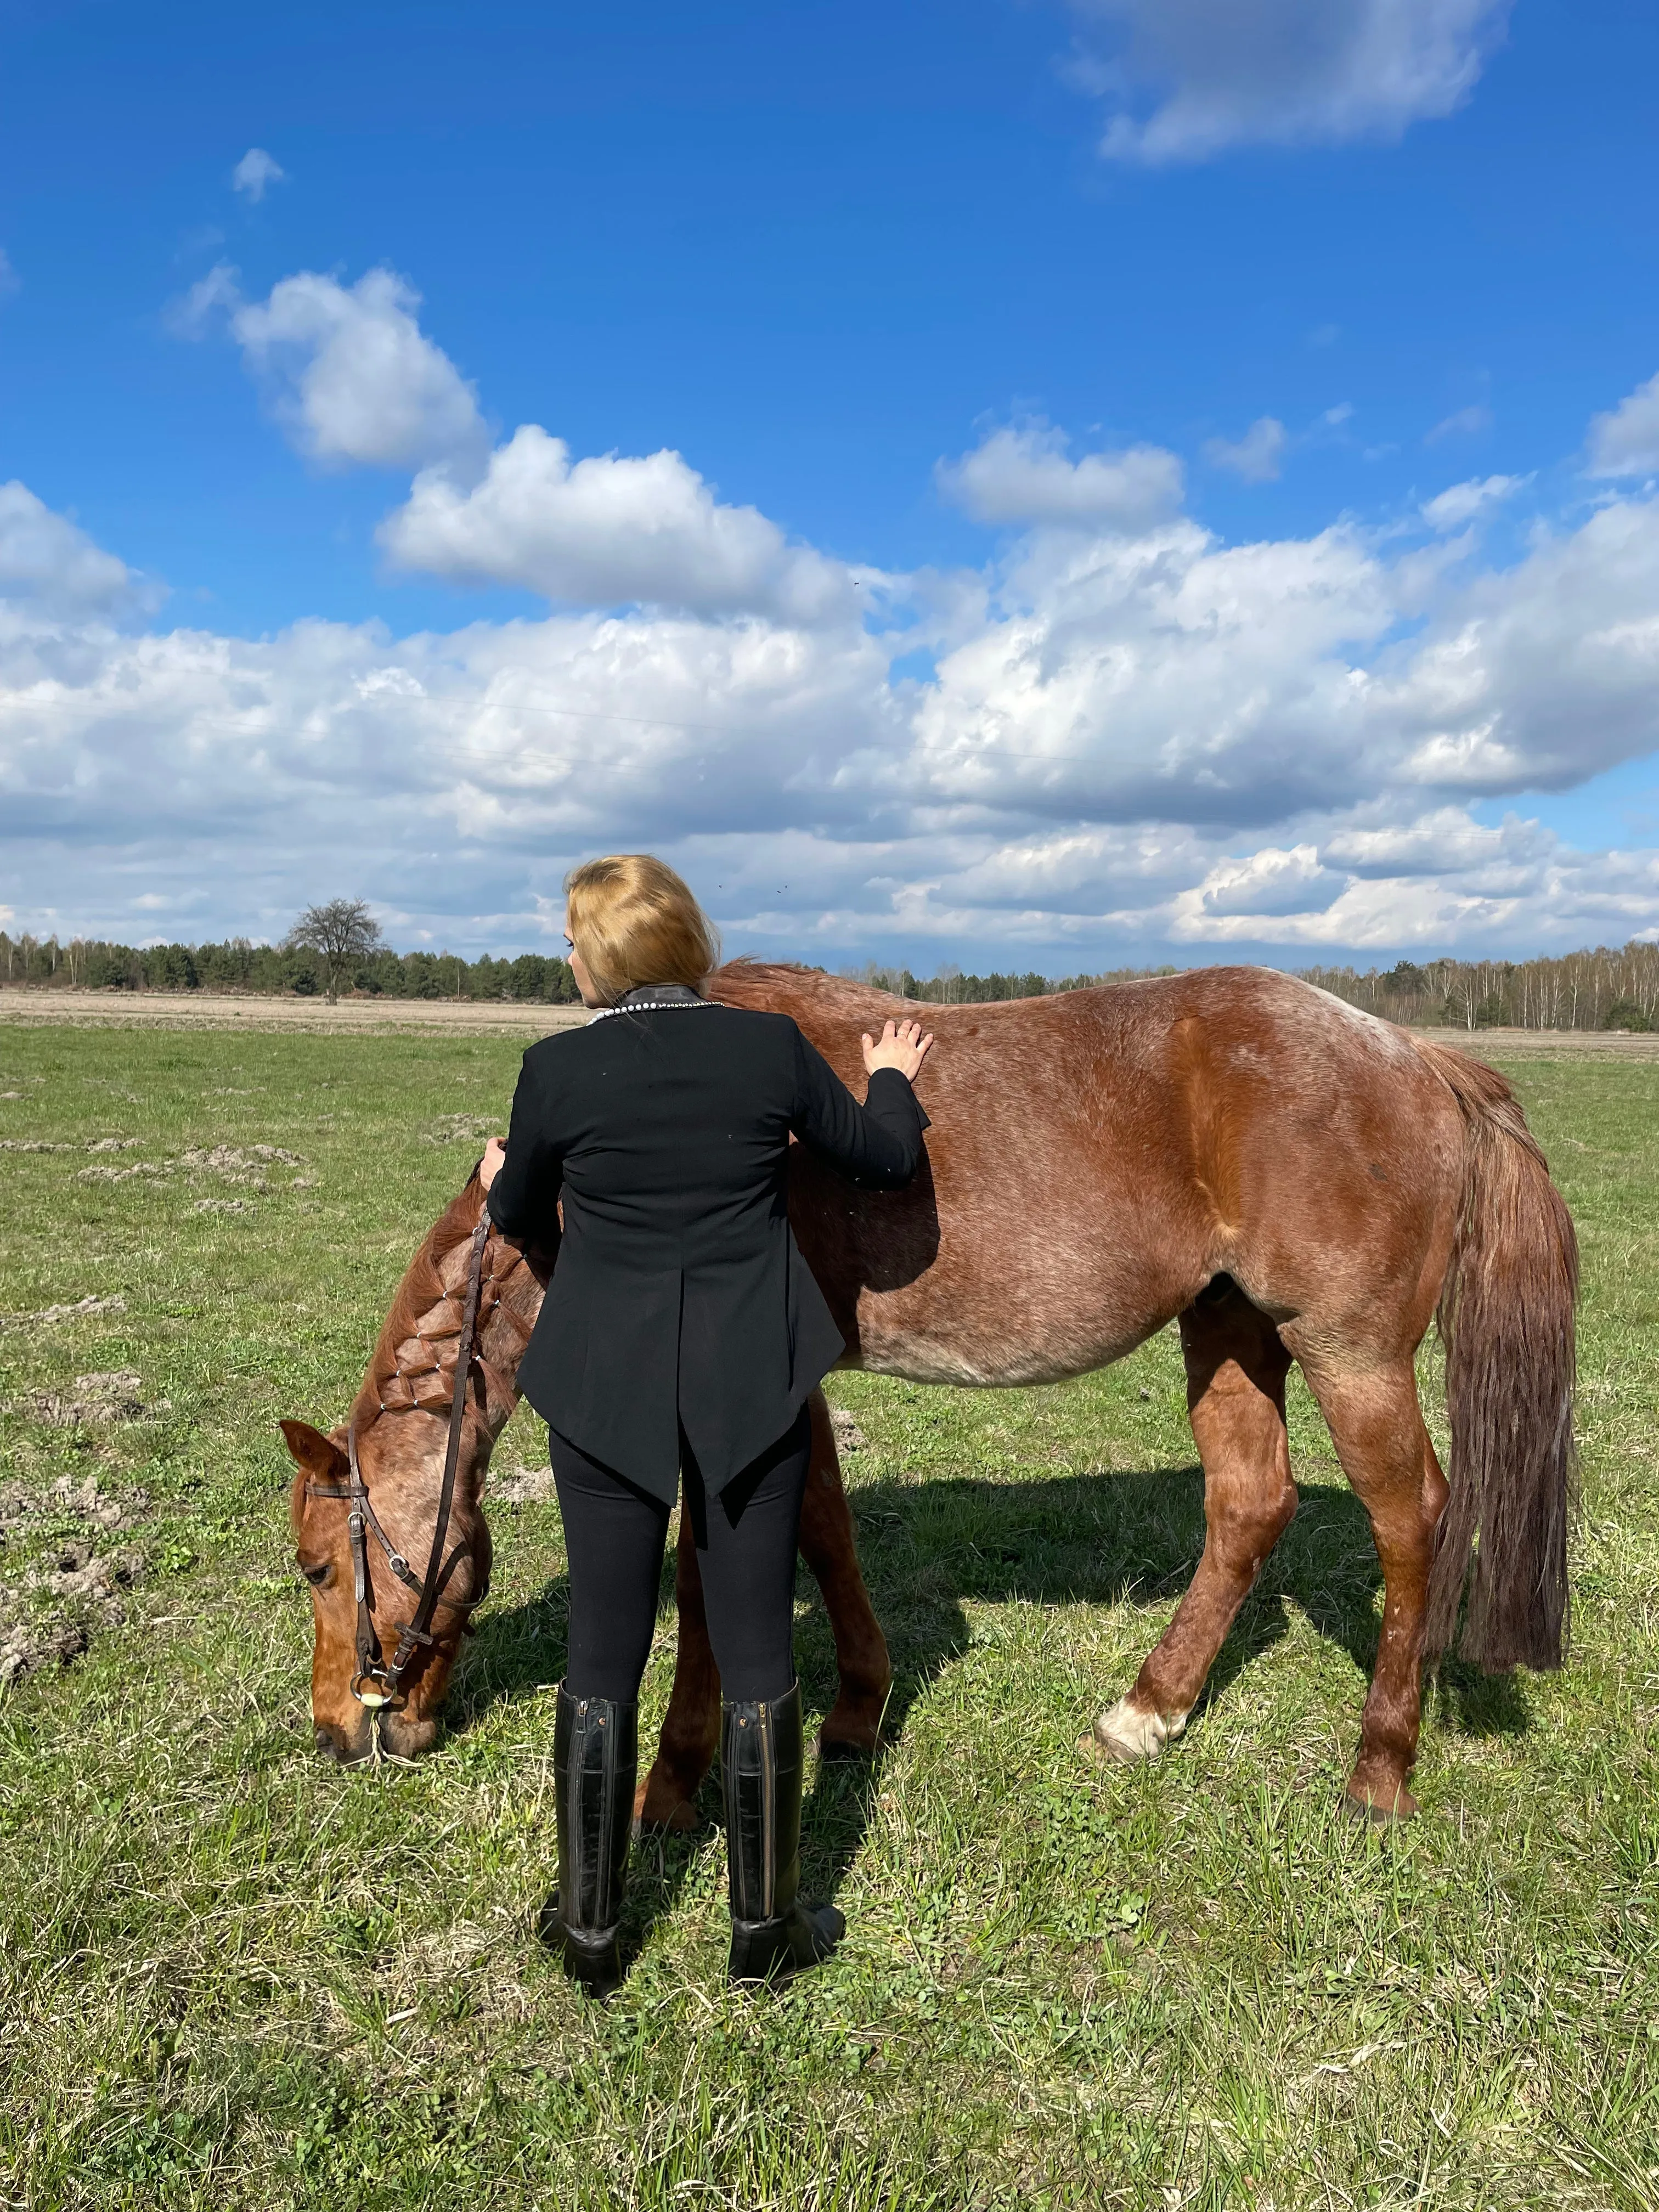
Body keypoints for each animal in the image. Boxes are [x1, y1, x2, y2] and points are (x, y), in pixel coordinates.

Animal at [290, 960, 1583, 1822]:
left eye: (315, 1566)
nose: (342, 1734)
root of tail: (1418, 1056)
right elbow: (824, 1528)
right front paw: (858, 1708)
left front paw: (676, 1779)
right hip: (1227, 1330)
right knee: (1248, 1507)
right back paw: (1144, 1712)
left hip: (1347, 1353)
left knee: (1413, 1522)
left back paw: (1378, 1767)